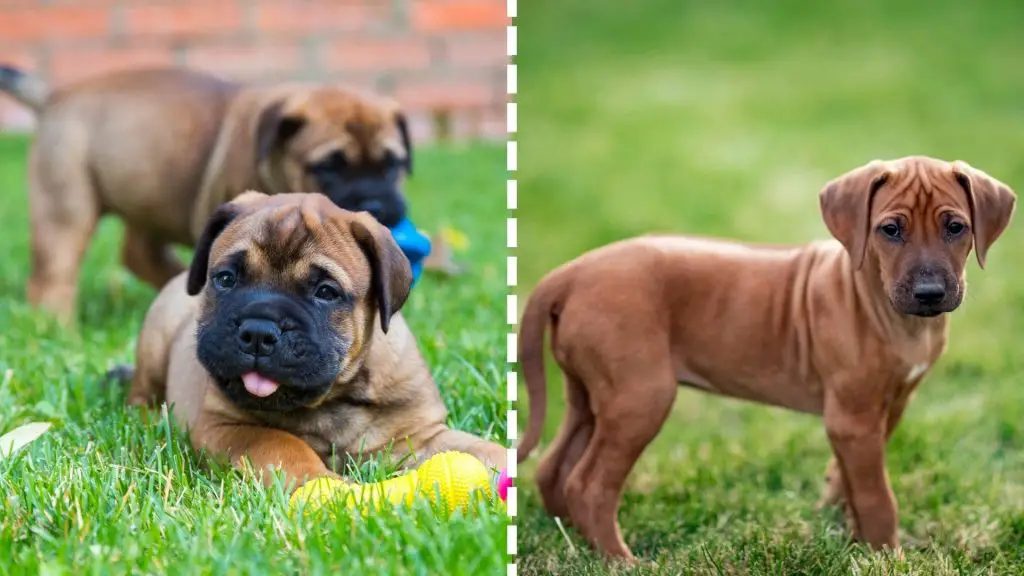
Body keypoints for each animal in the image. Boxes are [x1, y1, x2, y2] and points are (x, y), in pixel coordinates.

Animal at [2, 65, 415, 323]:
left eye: (392, 165)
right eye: (328, 167)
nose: (377, 205)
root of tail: (55, 96)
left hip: (150, 195)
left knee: (139, 252)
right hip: (65, 205)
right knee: (53, 275)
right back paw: (58, 327)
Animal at [111, 191, 503, 487]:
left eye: (326, 292)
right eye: (225, 279)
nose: (259, 331)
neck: (332, 398)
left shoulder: (420, 435)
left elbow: (477, 449)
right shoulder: (227, 426)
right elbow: (283, 444)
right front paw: (326, 487)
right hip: (157, 339)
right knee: (141, 395)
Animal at [520, 156, 1015, 561]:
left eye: (956, 227)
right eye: (890, 230)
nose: (930, 293)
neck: (885, 307)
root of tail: (571, 272)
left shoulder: (886, 408)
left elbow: (849, 480)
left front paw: (850, 536)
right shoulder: (852, 418)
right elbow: (878, 497)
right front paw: (887, 555)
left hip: (589, 393)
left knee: (552, 469)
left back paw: (571, 539)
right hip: (640, 397)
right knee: (588, 484)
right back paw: (619, 559)